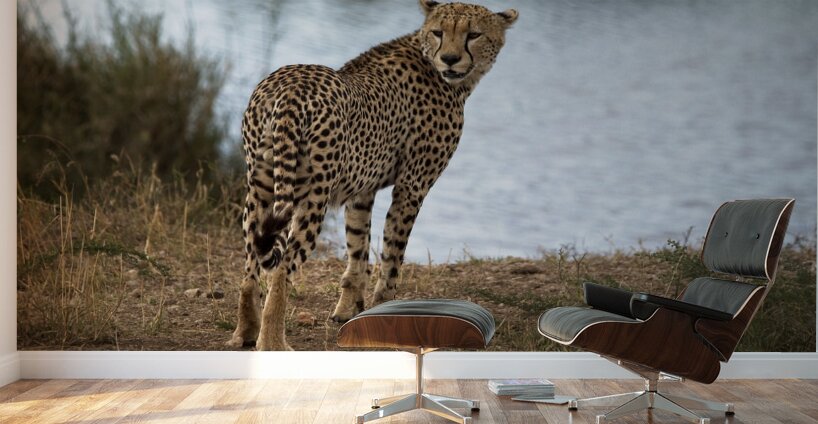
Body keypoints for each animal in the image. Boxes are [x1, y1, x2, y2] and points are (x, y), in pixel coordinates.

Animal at [227, 0, 518, 350]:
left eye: (473, 34)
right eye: (439, 32)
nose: (449, 58)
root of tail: (290, 84)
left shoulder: (361, 191)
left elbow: (358, 249)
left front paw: (348, 311)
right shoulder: (412, 186)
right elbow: (393, 253)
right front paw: (387, 310)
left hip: (261, 184)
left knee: (250, 265)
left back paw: (246, 331)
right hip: (311, 196)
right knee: (282, 267)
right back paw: (272, 342)